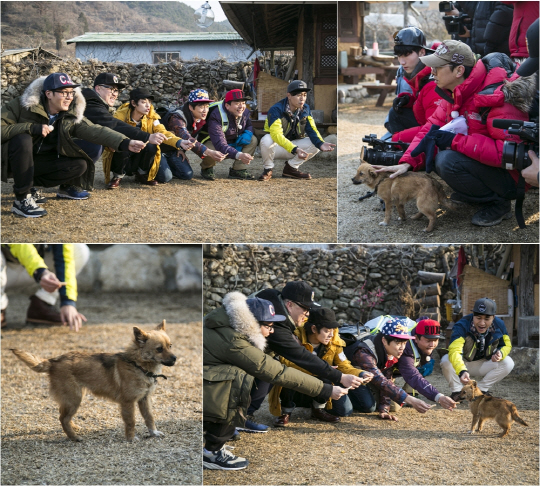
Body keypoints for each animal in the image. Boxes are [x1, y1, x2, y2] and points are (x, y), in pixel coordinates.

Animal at [12, 320, 176, 442]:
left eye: (170, 345)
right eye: (159, 349)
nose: (175, 358)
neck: (138, 365)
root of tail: (53, 361)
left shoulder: (144, 399)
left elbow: (149, 418)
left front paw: (154, 433)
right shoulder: (128, 403)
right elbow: (131, 422)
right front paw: (130, 438)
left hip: (72, 399)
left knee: (63, 415)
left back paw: (74, 428)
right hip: (74, 399)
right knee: (63, 418)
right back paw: (74, 437)